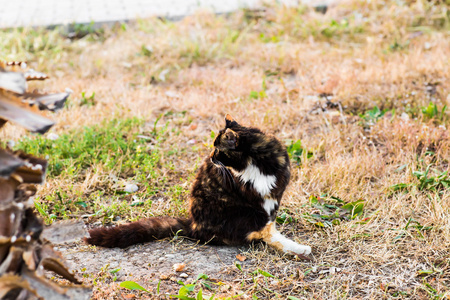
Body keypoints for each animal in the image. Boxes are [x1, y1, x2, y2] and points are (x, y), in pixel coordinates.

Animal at [87, 115, 312, 258]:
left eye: (218, 150)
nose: (211, 157)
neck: (256, 163)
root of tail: (193, 224)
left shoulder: (274, 194)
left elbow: (270, 225)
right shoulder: (259, 201)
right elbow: (267, 230)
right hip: (247, 214)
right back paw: (299, 250)